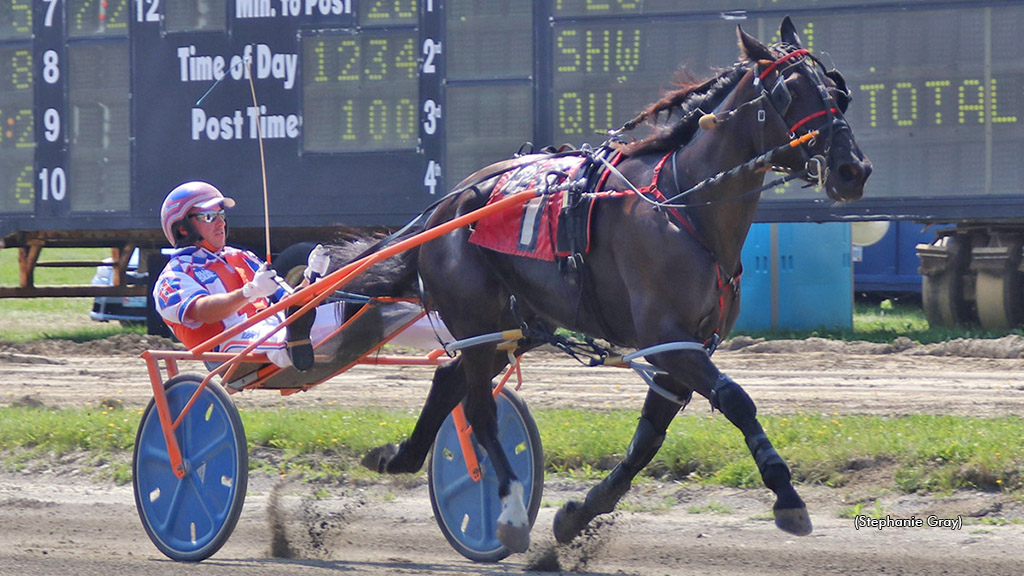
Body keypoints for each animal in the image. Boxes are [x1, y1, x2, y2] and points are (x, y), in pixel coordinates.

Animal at [339, 19, 868, 553]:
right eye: (790, 92)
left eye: (836, 92)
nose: (853, 170)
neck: (684, 205)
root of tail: (445, 206)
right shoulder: (666, 339)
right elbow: (737, 399)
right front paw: (787, 497)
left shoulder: (689, 346)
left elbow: (649, 437)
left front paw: (579, 513)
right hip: (474, 316)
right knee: (477, 407)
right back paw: (508, 509)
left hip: (518, 322)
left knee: (451, 381)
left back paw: (400, 457)